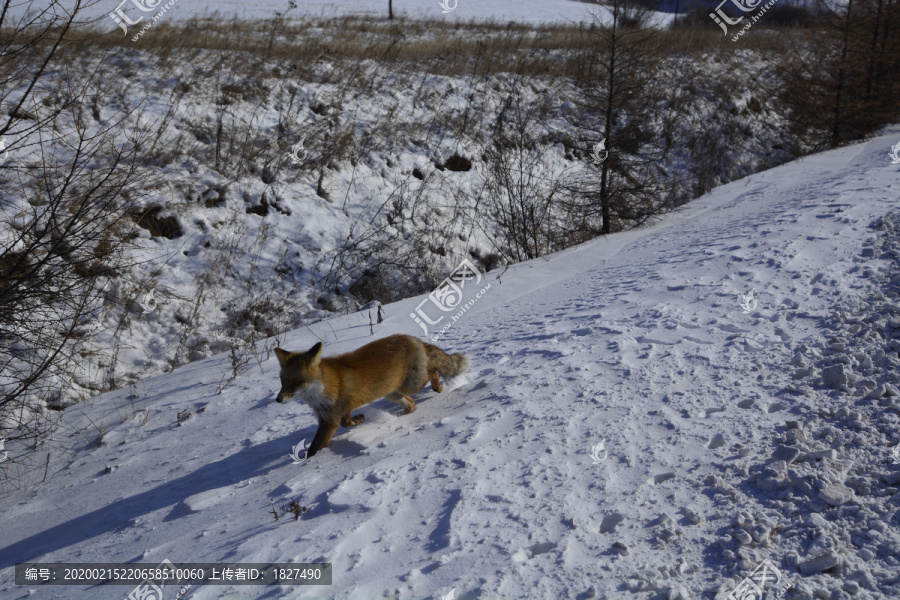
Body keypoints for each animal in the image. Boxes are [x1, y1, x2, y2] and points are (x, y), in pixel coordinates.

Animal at [274, 336, 472, 458]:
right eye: (282, 382)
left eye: (295, 383)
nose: (278, 400)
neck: (326, 386)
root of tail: (411, 337)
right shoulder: (327, 417)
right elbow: (318, 443)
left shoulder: (333, 417)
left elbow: (329, 435)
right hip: (393, 394)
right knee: (411, 403)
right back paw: (403, 416)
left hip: (411, 384)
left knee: (433, 372)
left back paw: (437, 387)